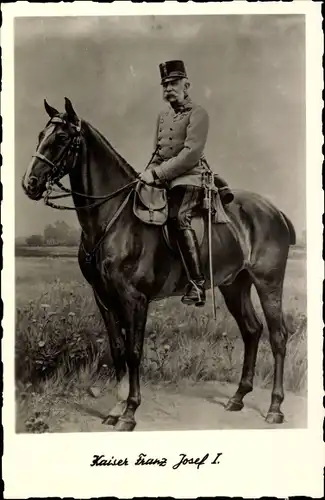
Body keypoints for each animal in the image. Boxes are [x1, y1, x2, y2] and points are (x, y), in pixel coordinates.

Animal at [22, 97, 296, 430]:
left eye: (61, 138)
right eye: (40, 135)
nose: (30, 183)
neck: (113, 219)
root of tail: (274, 210)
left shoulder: (134, 300)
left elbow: (134, 351)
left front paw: (130, 411)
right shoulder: (104, 299)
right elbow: (117, 350)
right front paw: (116, 408)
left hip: (269, 283)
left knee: (278, 336)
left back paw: (275, 407)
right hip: (234, 285)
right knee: (252, 331)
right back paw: (238, 397)